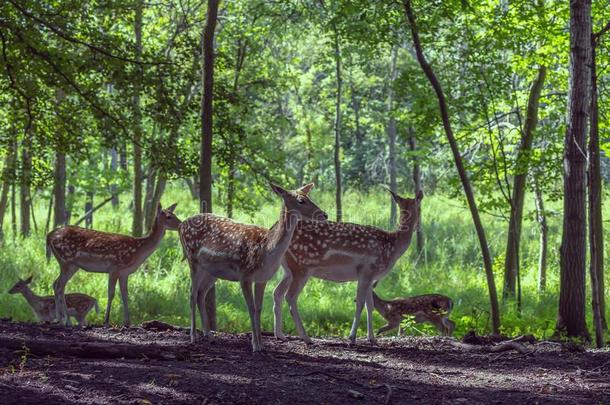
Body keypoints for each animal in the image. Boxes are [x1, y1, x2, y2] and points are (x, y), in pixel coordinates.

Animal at [48, 202, 179, 326]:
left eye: (174, 214)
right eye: (169, 217)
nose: (180, 224)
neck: (137, 251)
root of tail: (49, 235)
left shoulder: (125, 273)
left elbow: (125, 295)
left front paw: (128, 322)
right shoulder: (114, 267)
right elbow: (111, 294)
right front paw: (106, 320)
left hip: (72, 265)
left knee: (56, 284)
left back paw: (61, 319)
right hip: (66, 261)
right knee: (59, 285)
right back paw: (65, 320)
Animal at [178, 183, 326, 350]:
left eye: (309, 197)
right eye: (301, 200)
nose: (325, 214)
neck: (267, 248)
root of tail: (181, 225)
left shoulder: (262, 278)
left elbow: (259, 308)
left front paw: (261, 344)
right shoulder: (245, 274)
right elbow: (251, 307)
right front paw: (255, 345)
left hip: (211, 271)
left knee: (201, 294)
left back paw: (209, 335)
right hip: (192, 259)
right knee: (192, 294)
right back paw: (193, 337)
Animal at [274, 188, 420, 342]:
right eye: (419, 206)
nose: (417, 227)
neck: (392, 247)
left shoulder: (371, 277)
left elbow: (370, 305)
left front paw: (371, 338)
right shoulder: (367, 271)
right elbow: (360, 303)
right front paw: (352, 337)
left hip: (288, 269)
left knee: (277, 292)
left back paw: (280, 334)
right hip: (301, 266)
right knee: (290, 296)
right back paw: (306, 338)